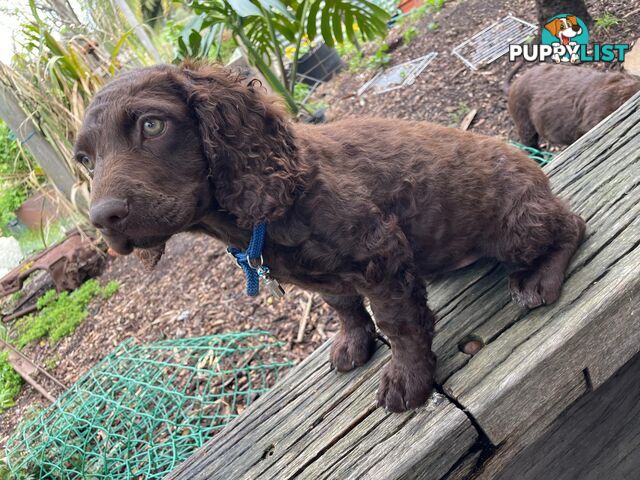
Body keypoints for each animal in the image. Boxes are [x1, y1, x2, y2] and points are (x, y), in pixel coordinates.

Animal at [75, 61, 584, 412]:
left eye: (152, 125)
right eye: (84, 160)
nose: (103, 218)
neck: (269, 209)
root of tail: (532, 167)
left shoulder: (380, 255)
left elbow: (399, 325)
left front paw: (408, 380)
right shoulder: (333, 276)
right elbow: (344, 307)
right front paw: (354, 343)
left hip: (514, 227)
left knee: (572, 225)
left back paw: (539, 279)